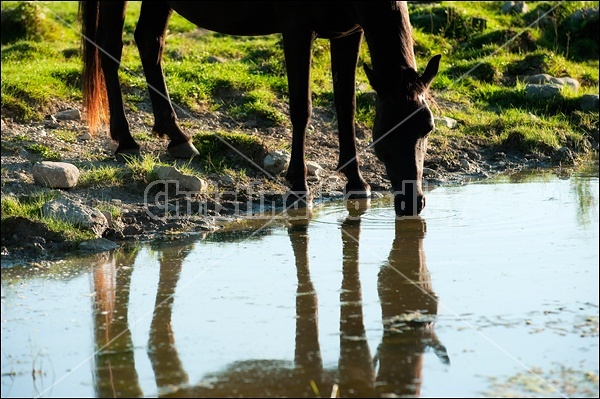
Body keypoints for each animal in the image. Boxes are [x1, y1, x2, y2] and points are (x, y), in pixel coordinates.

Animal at [79, 1, 440, 216]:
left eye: (427, 128)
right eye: (386, 132)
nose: (412, 202)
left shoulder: (348, 33)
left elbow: (346, 104)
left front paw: (356, 181)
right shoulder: (297, 28)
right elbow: (301, 108)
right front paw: (298, 186)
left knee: (149, 41)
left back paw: (176, 136)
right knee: (110, 48)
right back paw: (125, 139)